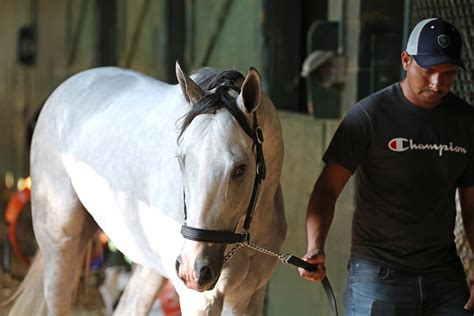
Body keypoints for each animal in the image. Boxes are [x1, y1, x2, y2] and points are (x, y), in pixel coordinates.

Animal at [4, 63, 286, 314]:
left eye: (241, 168)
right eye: (181, 159)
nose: (194, 269)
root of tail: (65, 88)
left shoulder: (248, 296)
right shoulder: (200, 300)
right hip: (60, 246)